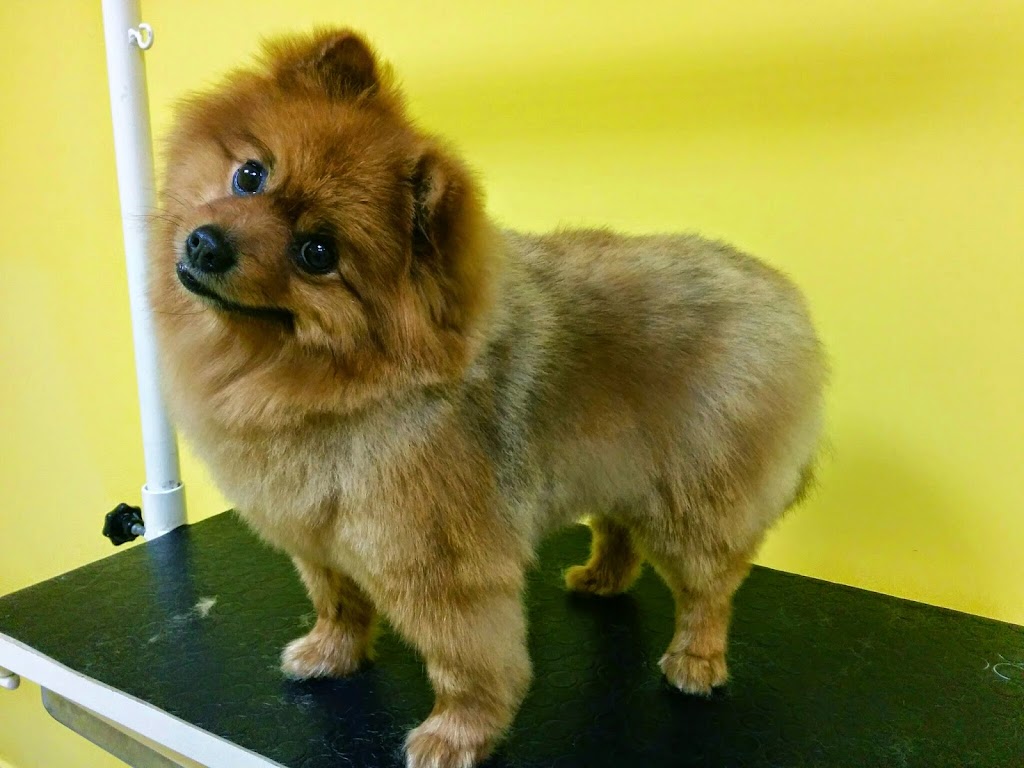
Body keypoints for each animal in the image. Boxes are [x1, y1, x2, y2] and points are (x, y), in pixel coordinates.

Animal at [151, 28, 827, 768]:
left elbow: (468, 662)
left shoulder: (440, 564)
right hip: (621, 463)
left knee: (710, 587)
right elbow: (339, 603)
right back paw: (600, 578)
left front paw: (458, 732)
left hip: (693, 500)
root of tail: (784, 301)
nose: (206, 244)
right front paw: (331, 653)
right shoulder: (320, 537)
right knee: (619, 527)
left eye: (317, 253)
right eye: (250, 176)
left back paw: (696, 662)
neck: (330, 383)